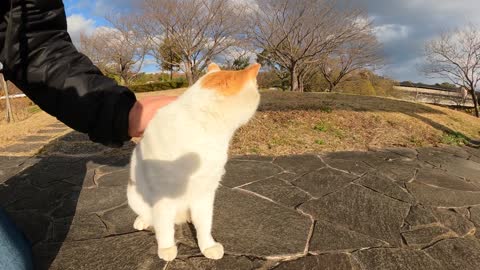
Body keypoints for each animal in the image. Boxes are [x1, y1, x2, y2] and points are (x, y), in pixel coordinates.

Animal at [127, 62, 260, 260]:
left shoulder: (205, 191)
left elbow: (204, 223)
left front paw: (207, 246)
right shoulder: (162, 194)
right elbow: (164, 226)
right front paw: (166, 247)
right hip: (133, 194)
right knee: (150, 215)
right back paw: (143, 220)